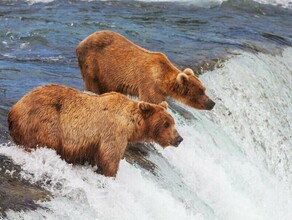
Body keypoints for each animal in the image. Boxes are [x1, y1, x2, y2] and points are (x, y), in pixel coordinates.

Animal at [76, 29, 216, 110]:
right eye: (200, 91)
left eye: (204, 89)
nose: (212, 103)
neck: (163, 80)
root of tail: (82, 41)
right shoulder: (149, 84)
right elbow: (151, 101)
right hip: (93, 63)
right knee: (92, 83)